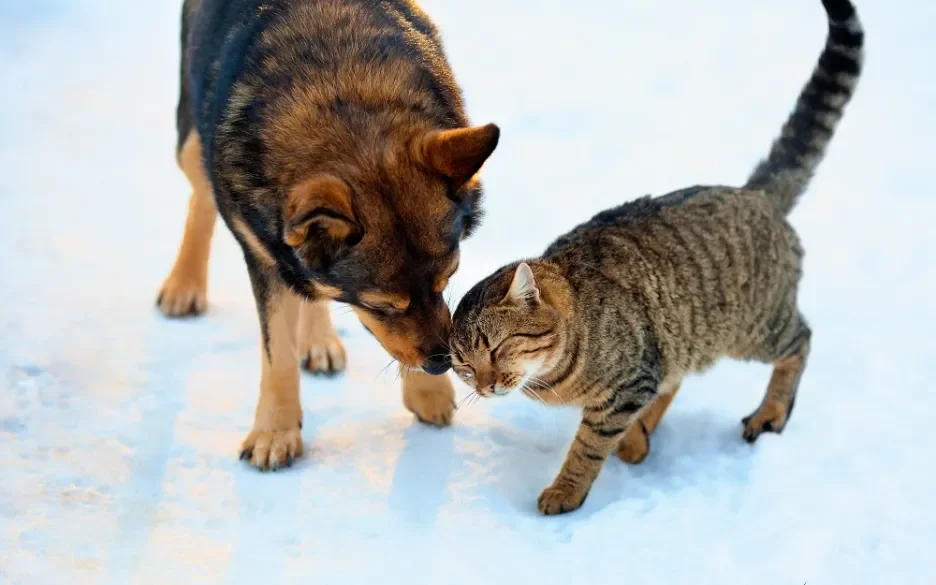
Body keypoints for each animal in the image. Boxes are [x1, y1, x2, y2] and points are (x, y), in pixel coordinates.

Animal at [157, 0, 500, 468]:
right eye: (381, 304)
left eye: (448, 279)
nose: (441, 364)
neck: (343, 92)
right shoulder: (264, 253)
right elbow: (278, 351)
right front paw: (275, 434)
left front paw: (427, 391)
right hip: (193, 140)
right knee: (201, 197)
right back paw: (183, 286)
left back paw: (318, 340)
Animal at [446, 0, 864, 512]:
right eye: (464, 367)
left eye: (495, 348)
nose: (485, 386)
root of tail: (754, 193)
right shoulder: (646, 367)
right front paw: (632, 440)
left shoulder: (627, 385)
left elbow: (588, 446)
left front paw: (566, 490)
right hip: (686, 331)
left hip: (756, 329)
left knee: (801, 340)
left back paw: (771, 413)